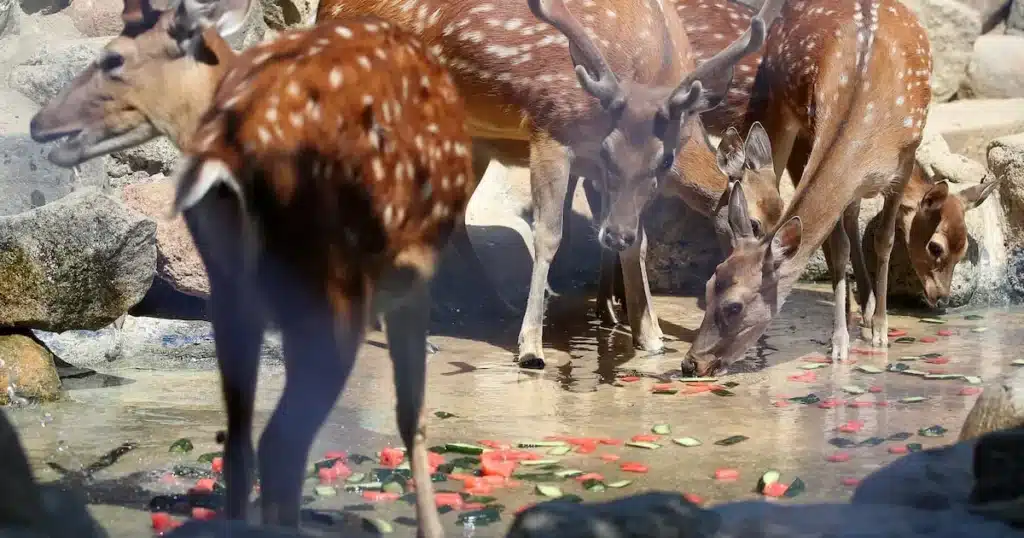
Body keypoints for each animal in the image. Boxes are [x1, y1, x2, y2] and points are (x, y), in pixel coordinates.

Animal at [30, 0, 467, 534]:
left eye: (113, 58)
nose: (38, 124)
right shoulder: (413, 278)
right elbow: (413, 418)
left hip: (234, 290)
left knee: (239, 440)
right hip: (332, 288)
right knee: (280, 443)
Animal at [318, 0, 788, 369]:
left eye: (664, 159)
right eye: (753, 223)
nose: (616, 234)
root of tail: (323, 11)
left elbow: (639, 243)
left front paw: (650, 336)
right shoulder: (551, 128)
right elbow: (547, 236)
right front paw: (531, 347)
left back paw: (491, 304)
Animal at [667, 0, 1002, 313]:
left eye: (964, 250)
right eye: (936, 247)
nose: (942, 298)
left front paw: (862, 303)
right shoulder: (802, 146)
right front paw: (858, 305)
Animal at [679, 0, 940, 376]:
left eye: (734, 306)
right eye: (709, 286)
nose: (691, 363)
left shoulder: (908, 155)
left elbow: (885, 239)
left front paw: (879, 328)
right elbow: (839, 247)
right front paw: (839, 341)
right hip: (778, 108)